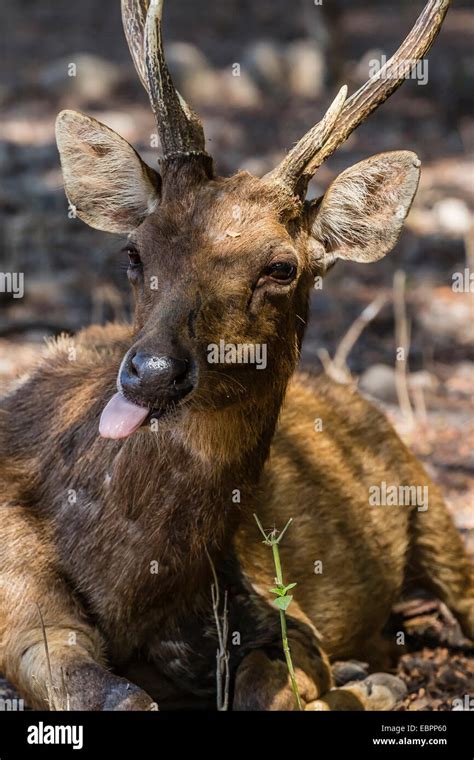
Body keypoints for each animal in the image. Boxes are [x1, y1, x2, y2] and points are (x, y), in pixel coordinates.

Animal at [0, 0, 470, 712]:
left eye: (281, 267)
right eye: (134, 251)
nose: (152, 372)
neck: (131, 592)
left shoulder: (274, 606)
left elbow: (265, 682)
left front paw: (352, 689)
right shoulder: (18, 597)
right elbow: (114, 693)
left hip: (429, 503)